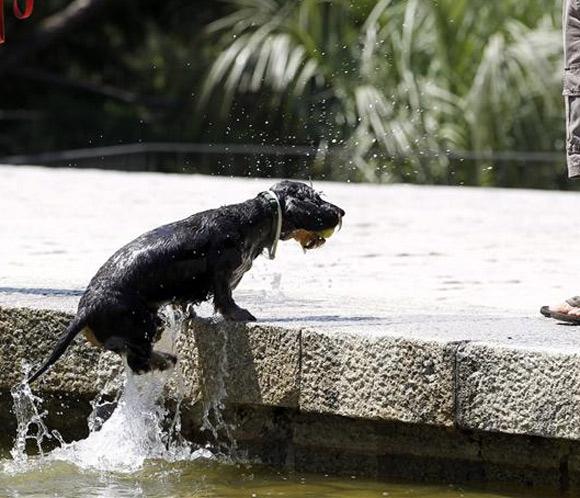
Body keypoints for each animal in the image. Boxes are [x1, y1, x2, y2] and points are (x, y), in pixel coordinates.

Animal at [27, 181, 344, 384]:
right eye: (317, 198)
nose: (341, 212)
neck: (251, 221)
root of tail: (84, 310)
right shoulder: (221, 272)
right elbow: (225, 299)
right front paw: (240, 314)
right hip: (142, 323)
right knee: (139, 361)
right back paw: (165, 359)